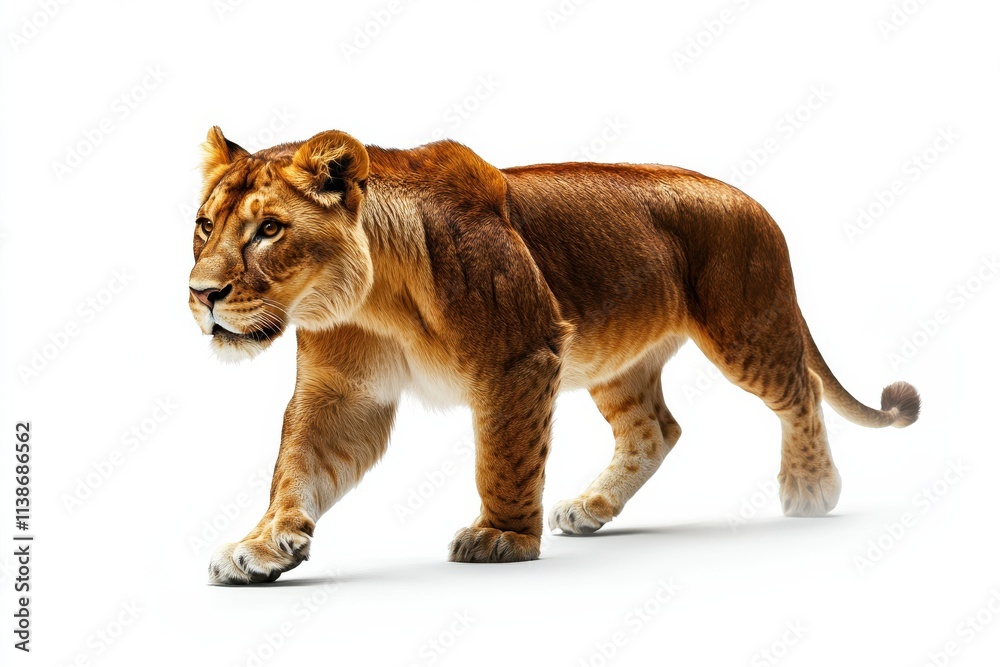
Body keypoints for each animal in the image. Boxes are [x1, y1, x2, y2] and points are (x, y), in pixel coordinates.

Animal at [189, 127, 920, 584]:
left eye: (270, 229)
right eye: (204, 224)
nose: (202, 294)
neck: (373, 299)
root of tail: (758, 202)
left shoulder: (521, 356)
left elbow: (505, 457)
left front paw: (503, 538)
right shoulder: (343, 392)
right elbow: (298, 466)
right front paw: (261, 547)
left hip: (747, 326)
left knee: (799, 392)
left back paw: (812, 489)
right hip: (618, 361)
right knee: (655, 430)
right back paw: (591, 508)